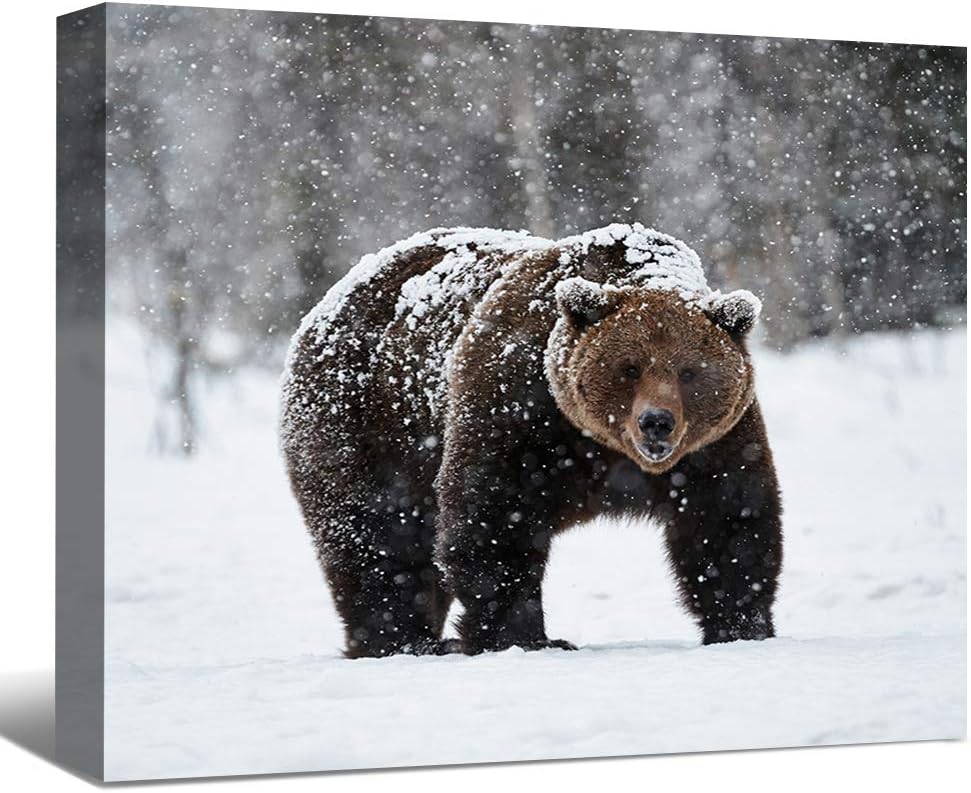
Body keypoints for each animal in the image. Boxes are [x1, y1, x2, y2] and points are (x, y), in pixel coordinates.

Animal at [280, 223, 783, 658]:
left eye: (688, 372)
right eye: (630, 367)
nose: (656, 422)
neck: (603, 447)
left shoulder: (715, 444)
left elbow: (729, 522)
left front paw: (742, 627)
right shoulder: (517, 407)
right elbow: (494, 519)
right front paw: (525, 637)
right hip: (366, 422)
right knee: (379, 539)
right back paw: (403, 641)